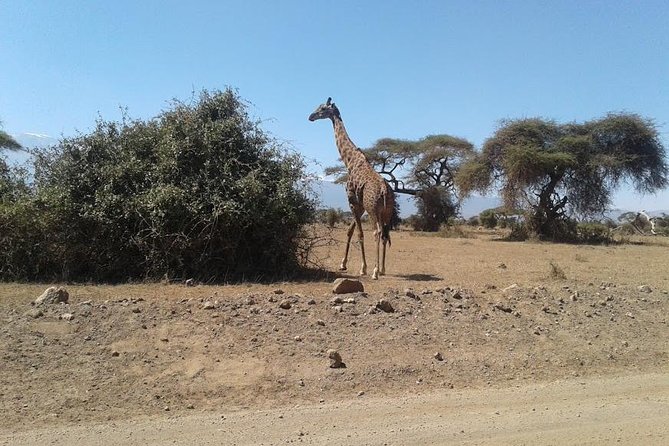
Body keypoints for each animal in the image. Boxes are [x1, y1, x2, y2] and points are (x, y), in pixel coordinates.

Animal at [310, 97, 396, 278]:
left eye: (322, 109)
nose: (311, 116)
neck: (349, 161)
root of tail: (384, 190)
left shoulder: (353, 202)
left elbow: (359, 233)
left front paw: (363, 268)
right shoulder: (360, 206)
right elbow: (350, 231)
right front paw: (343, 264)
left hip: (373, 210)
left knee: (377, 232)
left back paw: (375, 271)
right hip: (387, 211)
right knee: (385, 234)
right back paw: (383, 268)